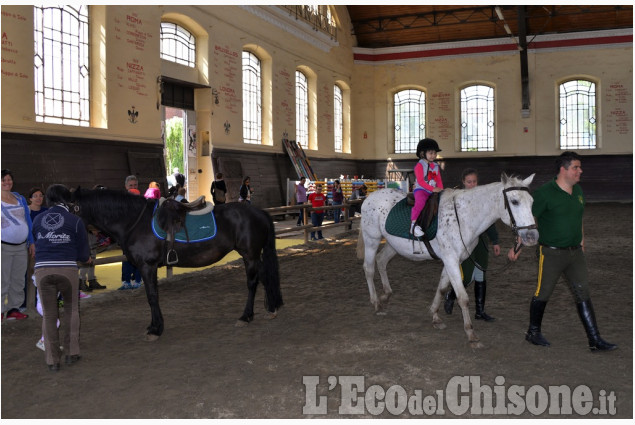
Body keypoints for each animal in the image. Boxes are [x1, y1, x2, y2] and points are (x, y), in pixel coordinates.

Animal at [70, 187, 286, 340]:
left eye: (70, 207)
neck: (135, 221)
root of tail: (259, 212)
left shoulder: (147, 266)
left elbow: (152, 297)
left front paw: (155, 329)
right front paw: (155, 326)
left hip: (250, 255)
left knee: (253, 283)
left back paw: (246, 316)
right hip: (253, 256)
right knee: (265, 278)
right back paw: (271, 309)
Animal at [356, 173, 540, 348]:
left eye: (531, 202)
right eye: (515, 201)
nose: (532, 236)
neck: (464, 218)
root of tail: (370, 197)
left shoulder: (452, 261)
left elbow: (442, 288)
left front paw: (435, 316)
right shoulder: (451, 260)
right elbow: (462, 297)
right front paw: (471, 334)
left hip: (393, 245)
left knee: (381, 261)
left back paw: (386, 295)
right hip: (372, 239)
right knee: (369, 268)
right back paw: (376, 303)